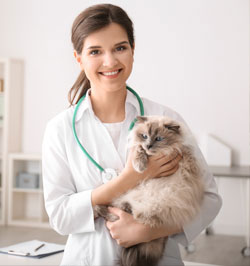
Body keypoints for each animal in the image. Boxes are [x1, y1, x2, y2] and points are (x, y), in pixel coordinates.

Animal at [94, 116, 203, 266]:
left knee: (138, 216)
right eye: (144, 136)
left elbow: (186, 155)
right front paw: (140, 166)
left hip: (160, 206)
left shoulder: (185, 155)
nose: (149, 146)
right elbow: (139, 150)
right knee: (106, 211)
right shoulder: (138, 147)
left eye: (158, 139)